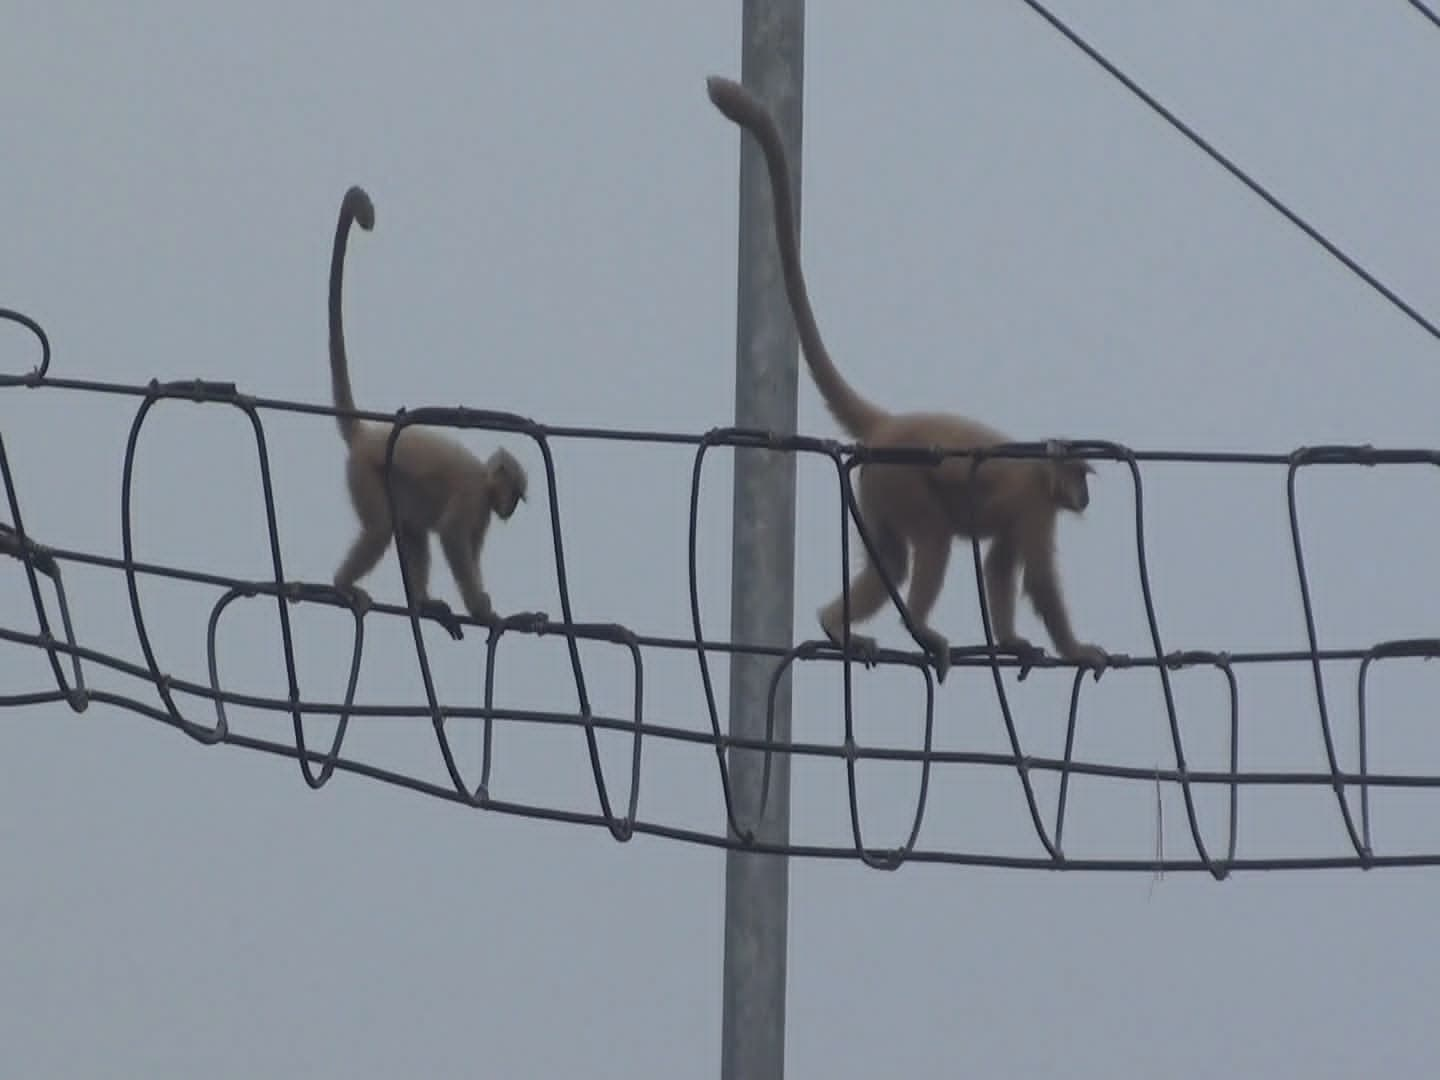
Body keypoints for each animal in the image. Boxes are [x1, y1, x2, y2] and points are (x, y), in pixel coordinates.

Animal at [328, 184, 529, 633]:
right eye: (515, 494)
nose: (510, 509)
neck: (485, 480)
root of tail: (367, 436)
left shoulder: (482, 509)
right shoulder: (475, 497)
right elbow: (453, 537)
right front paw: (482, 610)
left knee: (411, 531)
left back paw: (422, 602)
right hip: (365, 475)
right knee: (383, 529)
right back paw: (342, 585)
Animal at [705, 78, 1100, 685]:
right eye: (1080, 476)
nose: (1083, 496)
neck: (1041, 466)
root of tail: (889, 423)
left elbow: (999, 566)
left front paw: (1012, 641)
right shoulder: (1035, 502)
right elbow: (1033, 578)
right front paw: (1076, 650)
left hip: (875, 487)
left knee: (892, 557)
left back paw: (835, 626)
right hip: (900, 478)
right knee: (931, 540)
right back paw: (918, 630)